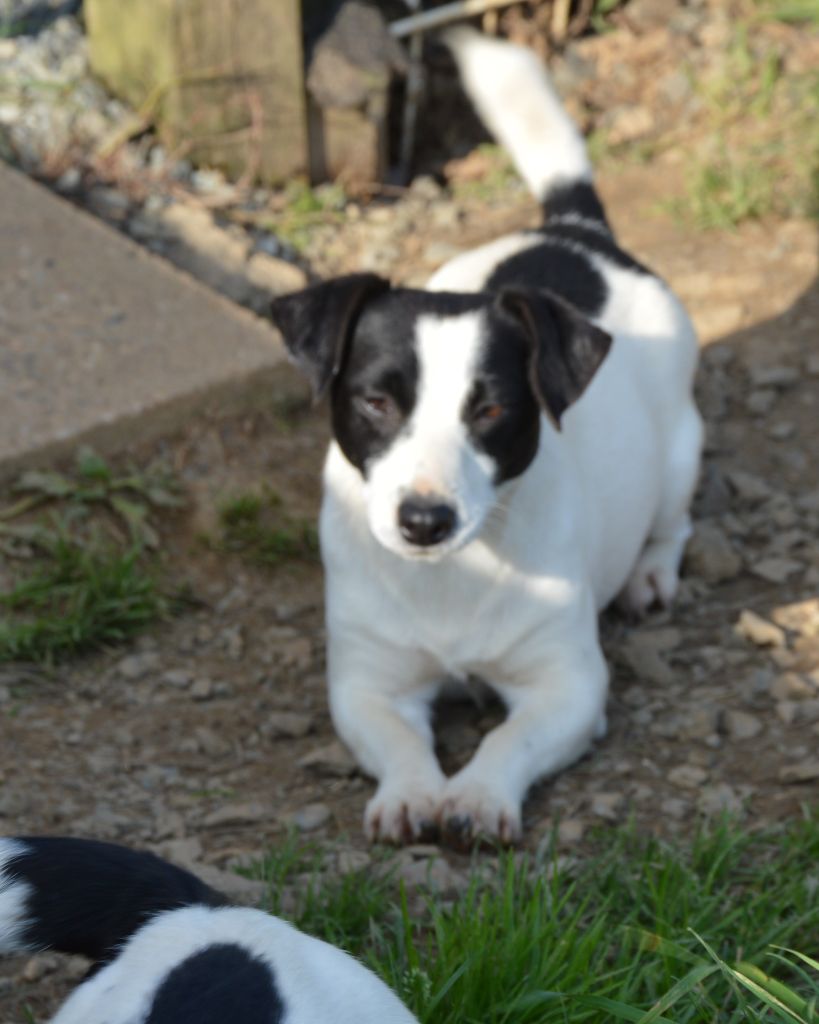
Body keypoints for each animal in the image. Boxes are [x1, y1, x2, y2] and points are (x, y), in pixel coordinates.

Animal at [270, 34, 704, 847]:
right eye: (376, 401)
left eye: (493, 410)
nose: (423, 520)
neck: (451, 576)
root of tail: (574, 233)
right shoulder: (368, 681)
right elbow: (399, 740)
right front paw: (414, 792)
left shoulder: (568, 684)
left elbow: (511, 736)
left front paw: (474, 795)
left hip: (679, 456)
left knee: (675, 522)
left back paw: (649, 575)